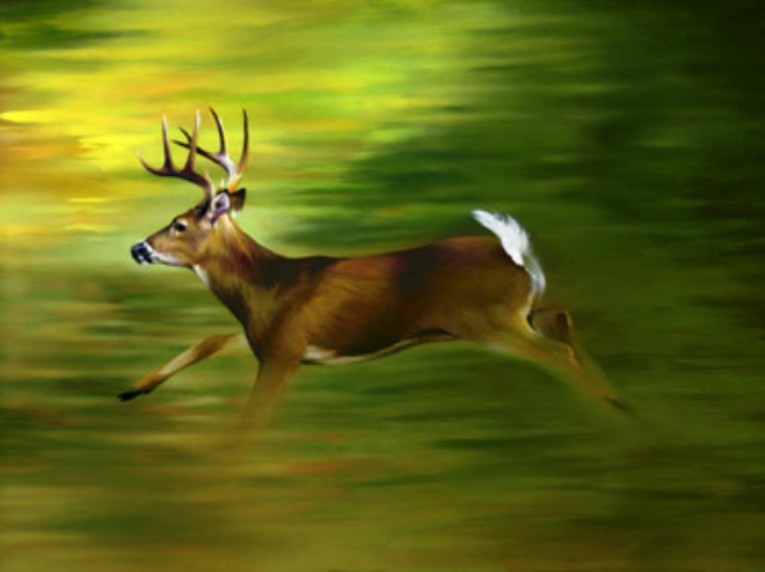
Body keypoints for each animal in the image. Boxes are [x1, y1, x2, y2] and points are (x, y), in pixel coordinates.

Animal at [122, 108, 629, 431]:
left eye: (179, 223)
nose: (136, 247)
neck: (265, 288)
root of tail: (518, 256)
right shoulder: (267, 339)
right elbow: (211, 338)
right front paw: (135, 388)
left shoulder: (284, 350)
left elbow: (252, 418)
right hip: (519, 313)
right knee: (562, 320)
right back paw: (618, 403)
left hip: (492, 322)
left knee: (557, 351)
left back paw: (609, 415)